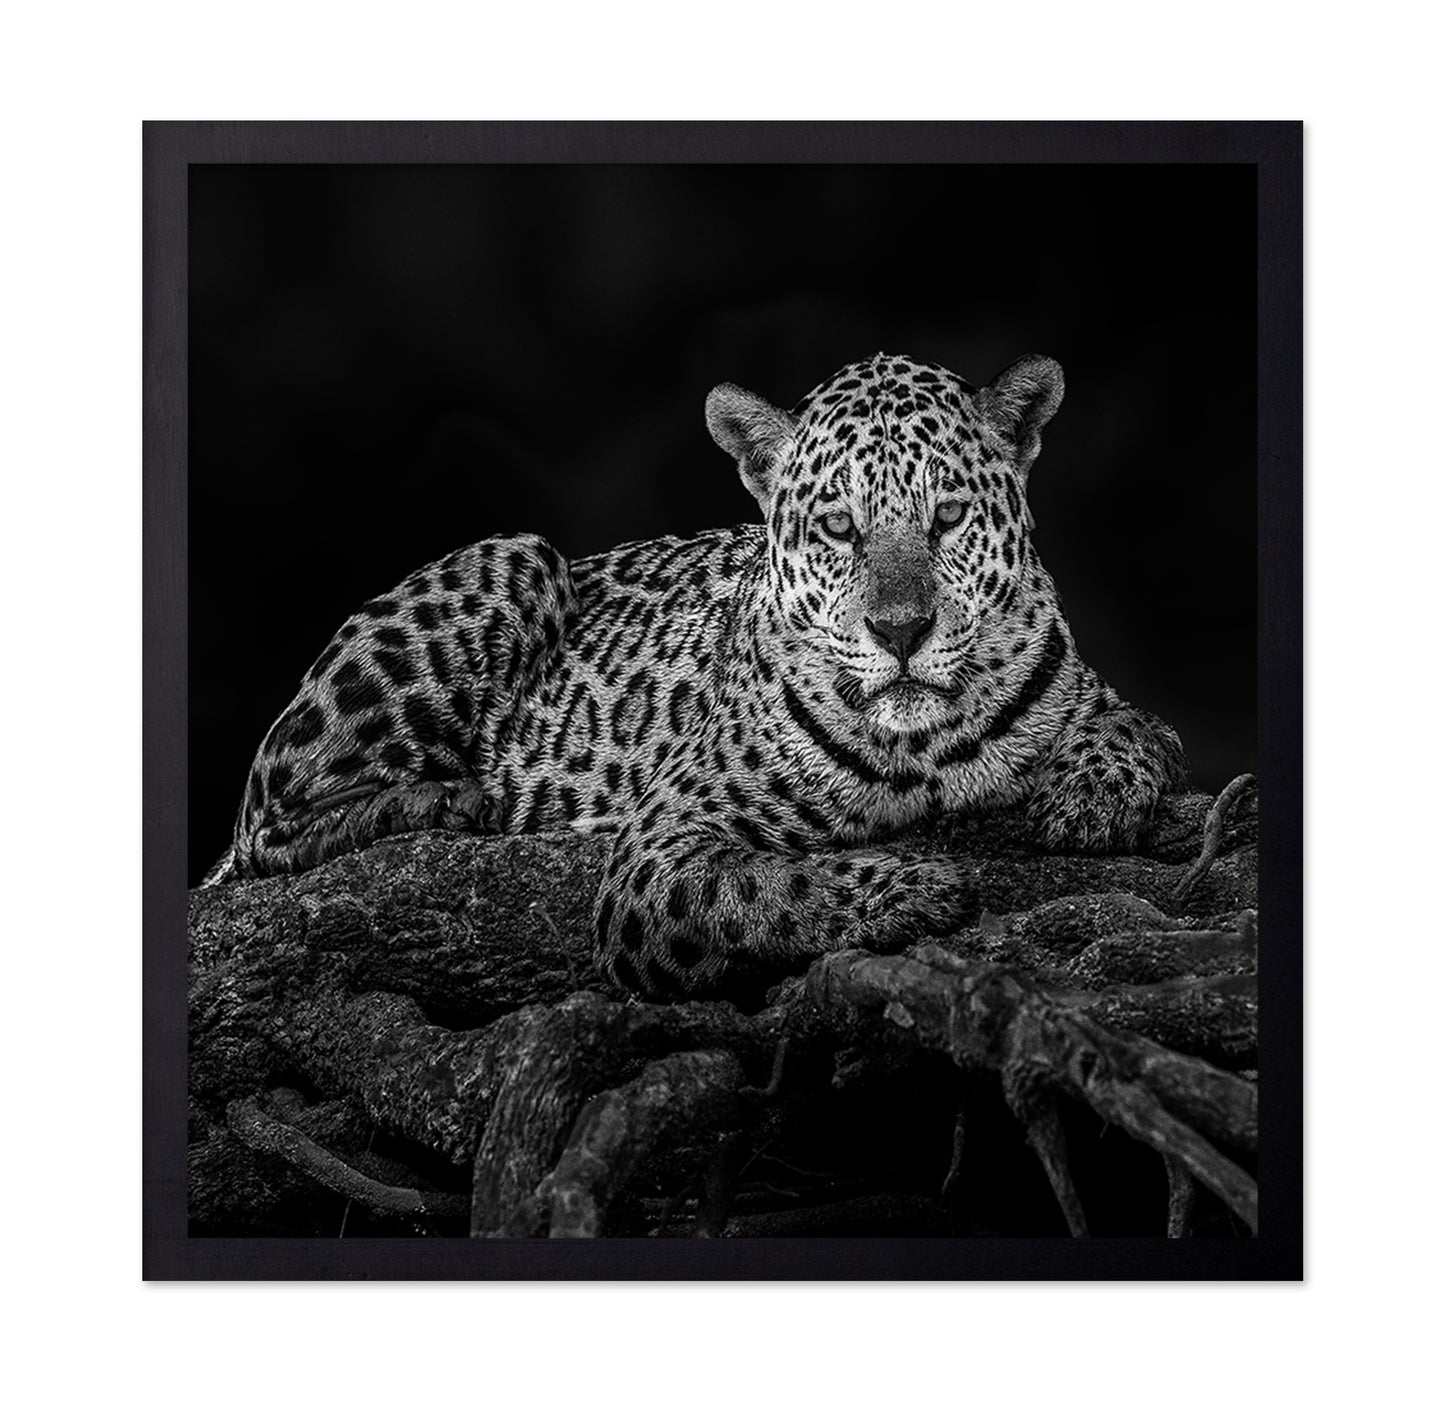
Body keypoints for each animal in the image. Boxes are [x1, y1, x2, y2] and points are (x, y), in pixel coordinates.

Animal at [203, 351, 1187, 1000]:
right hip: (515, 555)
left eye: (946, 516)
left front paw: (1089, 794)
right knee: (265, 823)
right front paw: (910, 885)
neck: (926, 746)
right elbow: (766, 889)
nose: (901, 630)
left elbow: (1140, 726)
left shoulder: (1098, 696)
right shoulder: (657, 853)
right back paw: (456, 800)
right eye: (838, 526)